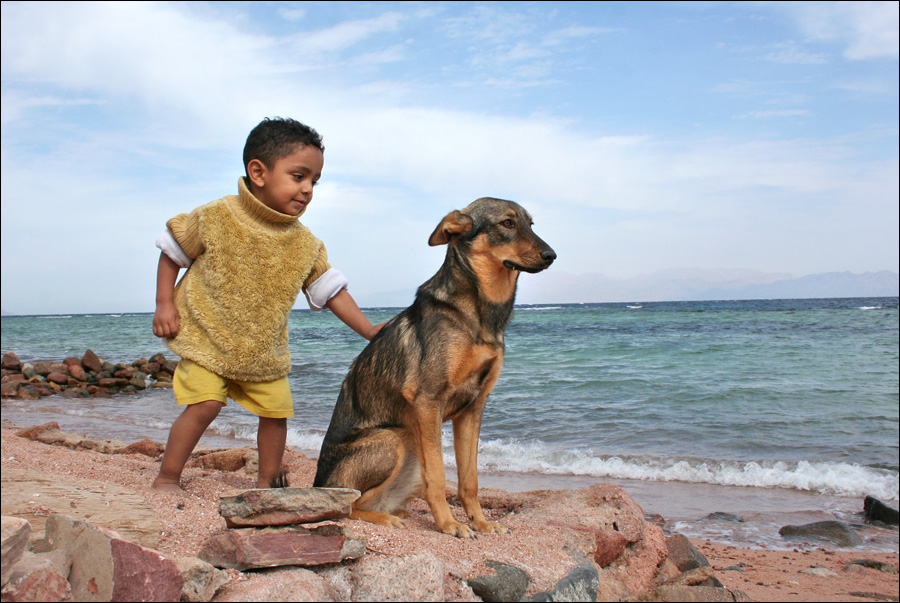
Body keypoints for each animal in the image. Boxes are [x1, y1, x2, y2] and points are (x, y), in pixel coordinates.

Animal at [316, 198, 556, 536]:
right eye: (508, 223)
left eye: (531, 224)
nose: (552, 255)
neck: (479, 311)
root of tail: (317, 485)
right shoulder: (428, 402)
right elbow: (440, 477)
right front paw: (448, 524)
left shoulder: (473, 408)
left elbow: (470, 479)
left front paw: (480, 522)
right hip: (392, 440)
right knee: (348, 505)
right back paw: (386, 519)